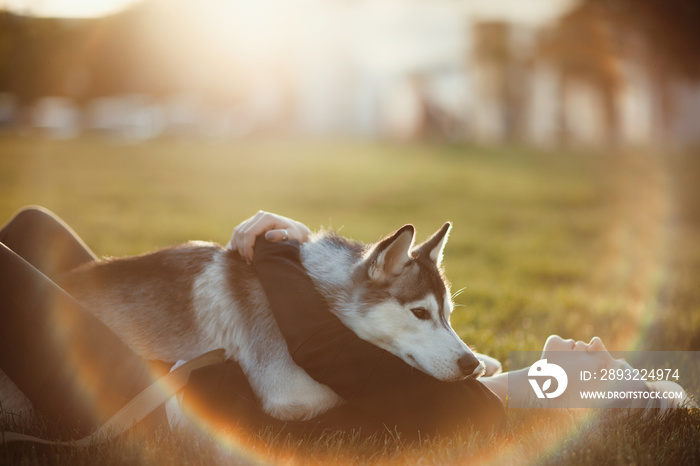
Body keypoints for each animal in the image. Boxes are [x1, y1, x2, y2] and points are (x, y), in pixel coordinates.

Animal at [5, 224, 498, 420]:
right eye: (419, 313)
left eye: (448, 316)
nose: (468, 365)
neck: (315, 290)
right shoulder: (290, 392)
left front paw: (488, 362)